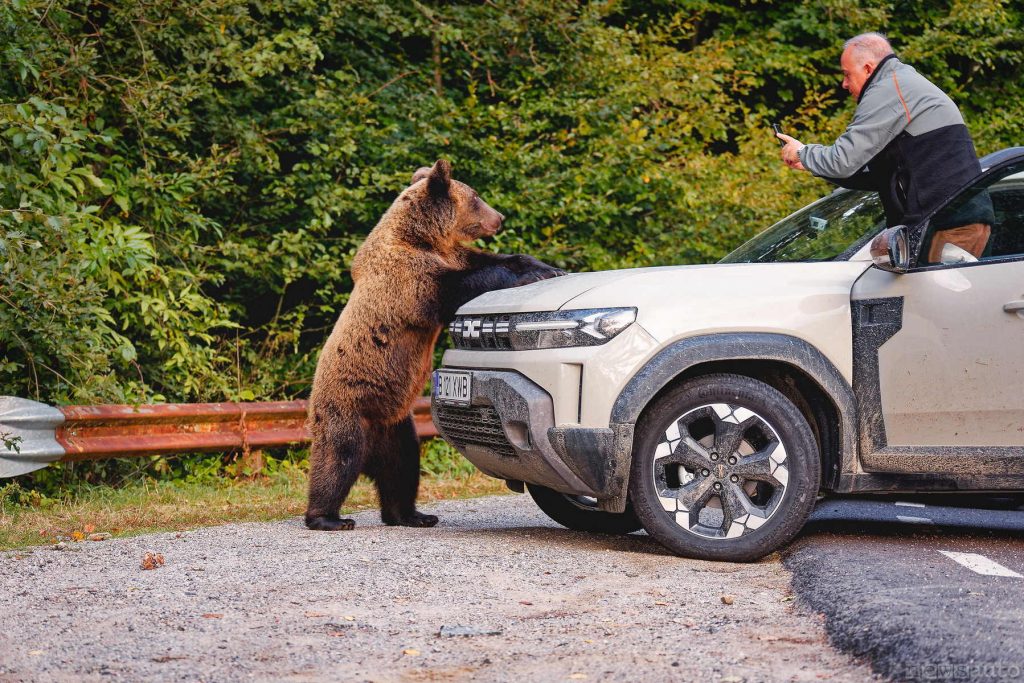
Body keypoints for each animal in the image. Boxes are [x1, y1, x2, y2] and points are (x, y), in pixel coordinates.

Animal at [303, 161, 565, 532]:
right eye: (476, 197)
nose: (499, 217)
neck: (423, 239)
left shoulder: (454, 254)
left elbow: (499, 259)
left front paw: (549, 268)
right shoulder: (408, 278)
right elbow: (459, 285)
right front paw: (530, 276)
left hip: (397, 426)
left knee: (403, 467)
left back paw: (413, 514)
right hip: (348, 406)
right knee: (338, 457)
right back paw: (328, 517)